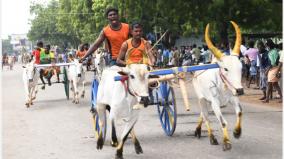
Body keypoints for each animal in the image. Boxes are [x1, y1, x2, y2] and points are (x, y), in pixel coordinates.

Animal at [192, 20, 243, 151]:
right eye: (225, 69)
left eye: (241, 67)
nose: (240, 90)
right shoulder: (215, 102)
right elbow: (223, 122)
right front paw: (226, 142)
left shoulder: (233, 98)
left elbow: (239, 112)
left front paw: (237, 132)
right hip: (202, 98)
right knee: (206, 116)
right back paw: (212, 138)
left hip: (207, 101)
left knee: (203, 114)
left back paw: (198, 131)